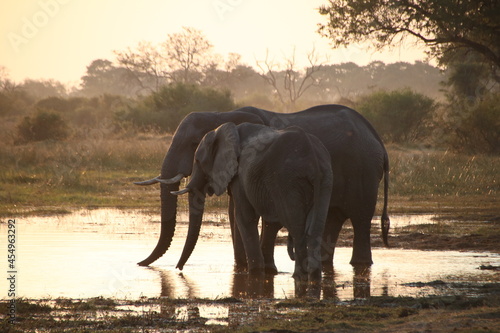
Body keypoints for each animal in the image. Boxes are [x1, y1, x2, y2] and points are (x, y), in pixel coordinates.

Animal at [136, 104, 390, 270]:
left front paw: (250, 267)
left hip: (364, 171)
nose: (177, 268)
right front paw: (241, 266)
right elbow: (234, 212)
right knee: (333, 218)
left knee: (360, 218)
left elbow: (244, 214)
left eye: (192, 144)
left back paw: (359, 263)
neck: (224, 114)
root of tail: (377, 138)